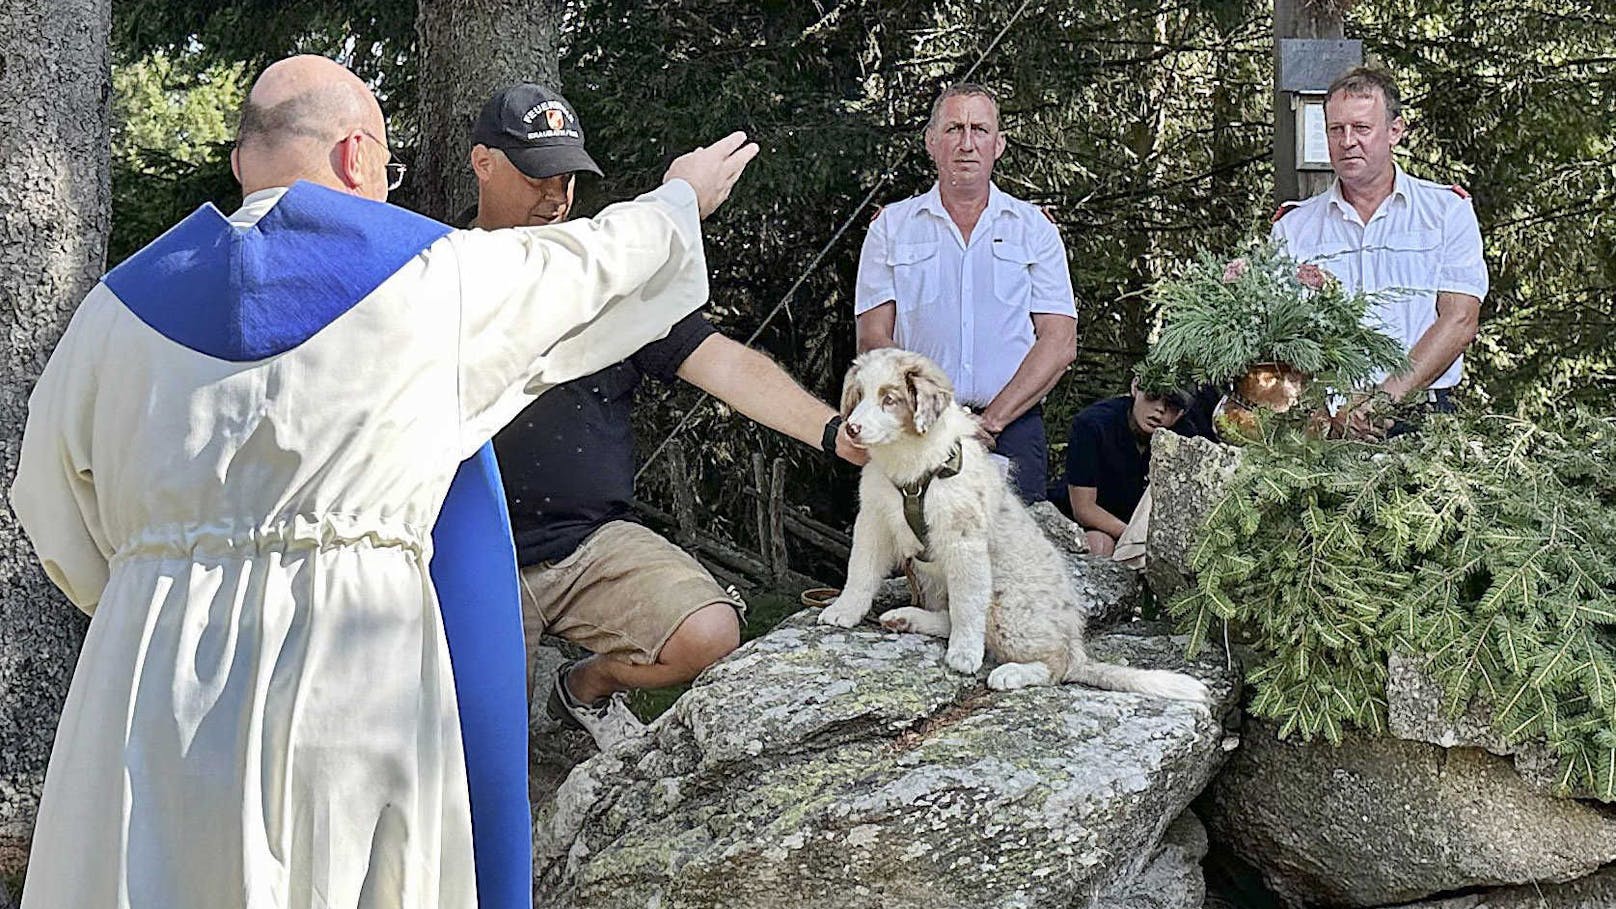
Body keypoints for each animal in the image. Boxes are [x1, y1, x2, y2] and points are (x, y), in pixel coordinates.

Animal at [827, 346, 1208, 701]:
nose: (851, 429)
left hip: (1007, 605)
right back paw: (908, 618)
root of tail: (1076, 647)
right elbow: (860, 571)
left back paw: (1011, 672)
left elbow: (967, 603)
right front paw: (843, 610)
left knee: (1055, 665)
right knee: (950, 616)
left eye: (889, 399)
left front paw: (964, 655)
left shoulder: (963, 538)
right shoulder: (873, 519)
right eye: (859, 395)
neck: (910, 464)